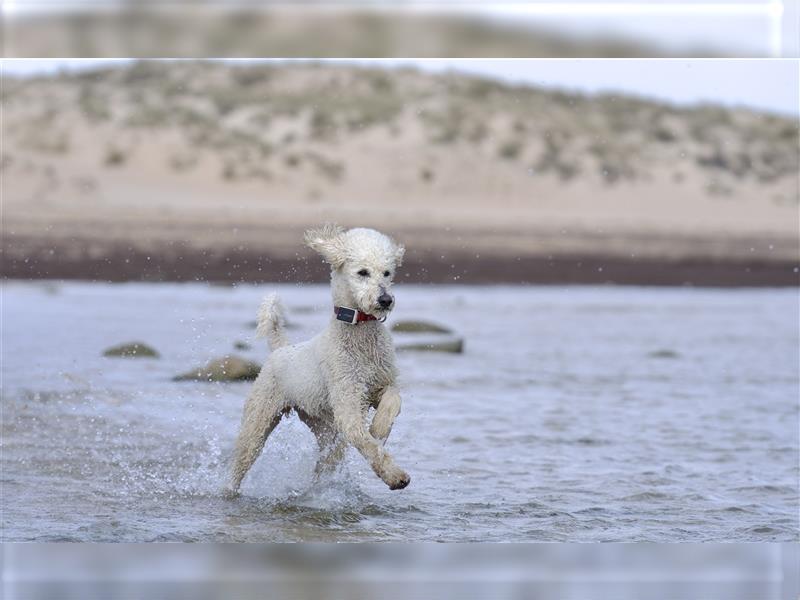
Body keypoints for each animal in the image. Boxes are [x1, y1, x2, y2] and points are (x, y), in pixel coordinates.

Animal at [227, 223, 410, 494]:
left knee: (326, 461)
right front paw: (394, 476)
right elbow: (366, 442)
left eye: (387, 273)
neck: (359, 333)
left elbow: (393, 399)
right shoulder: (348, 403)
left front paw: (379, 427)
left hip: (325, 428)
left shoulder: (379, 384)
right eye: (363, 272)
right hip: (258, 419)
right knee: (242, 459)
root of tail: (281, 348)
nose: (385, 300)